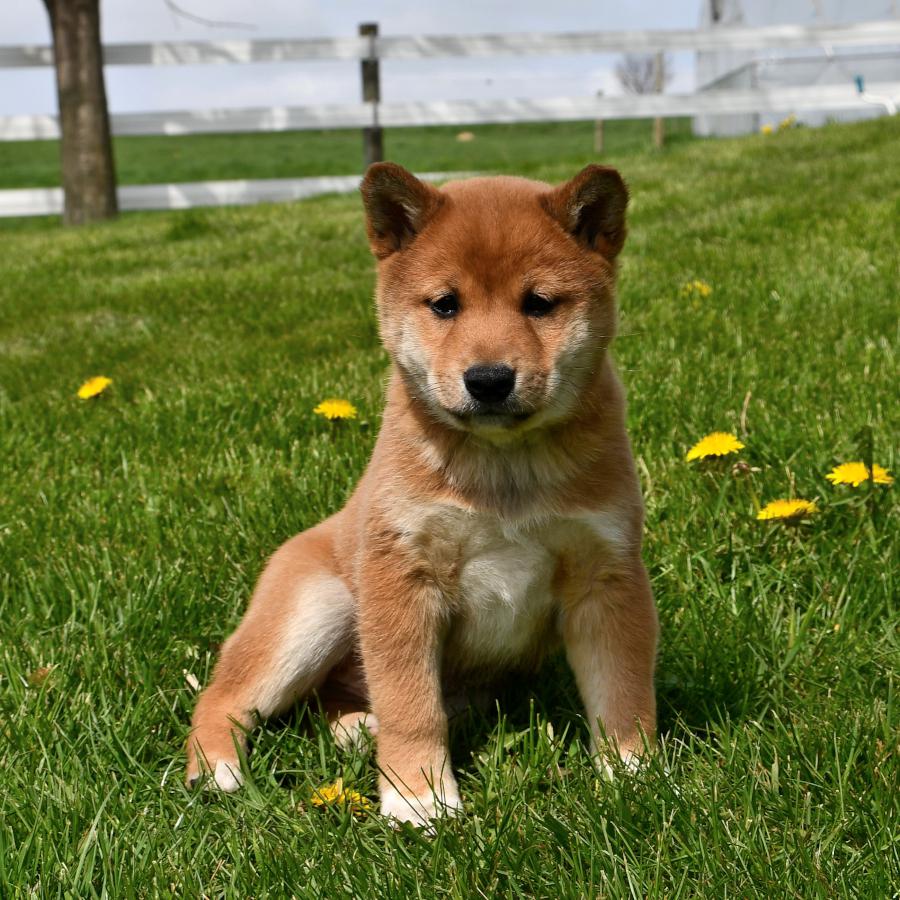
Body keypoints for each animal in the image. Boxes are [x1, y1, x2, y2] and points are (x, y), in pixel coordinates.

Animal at [185, 160, 660, 824]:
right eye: (445, 304)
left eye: (539, 304)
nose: (489, 379)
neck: (503, 471)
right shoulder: (403, 576)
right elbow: (412, 706)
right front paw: (419, 801)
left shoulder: (606, 573)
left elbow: (622, 692)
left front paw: (634, 778)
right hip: (315, 611)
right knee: (223, 696)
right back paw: (217, 770)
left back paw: (357, 729)